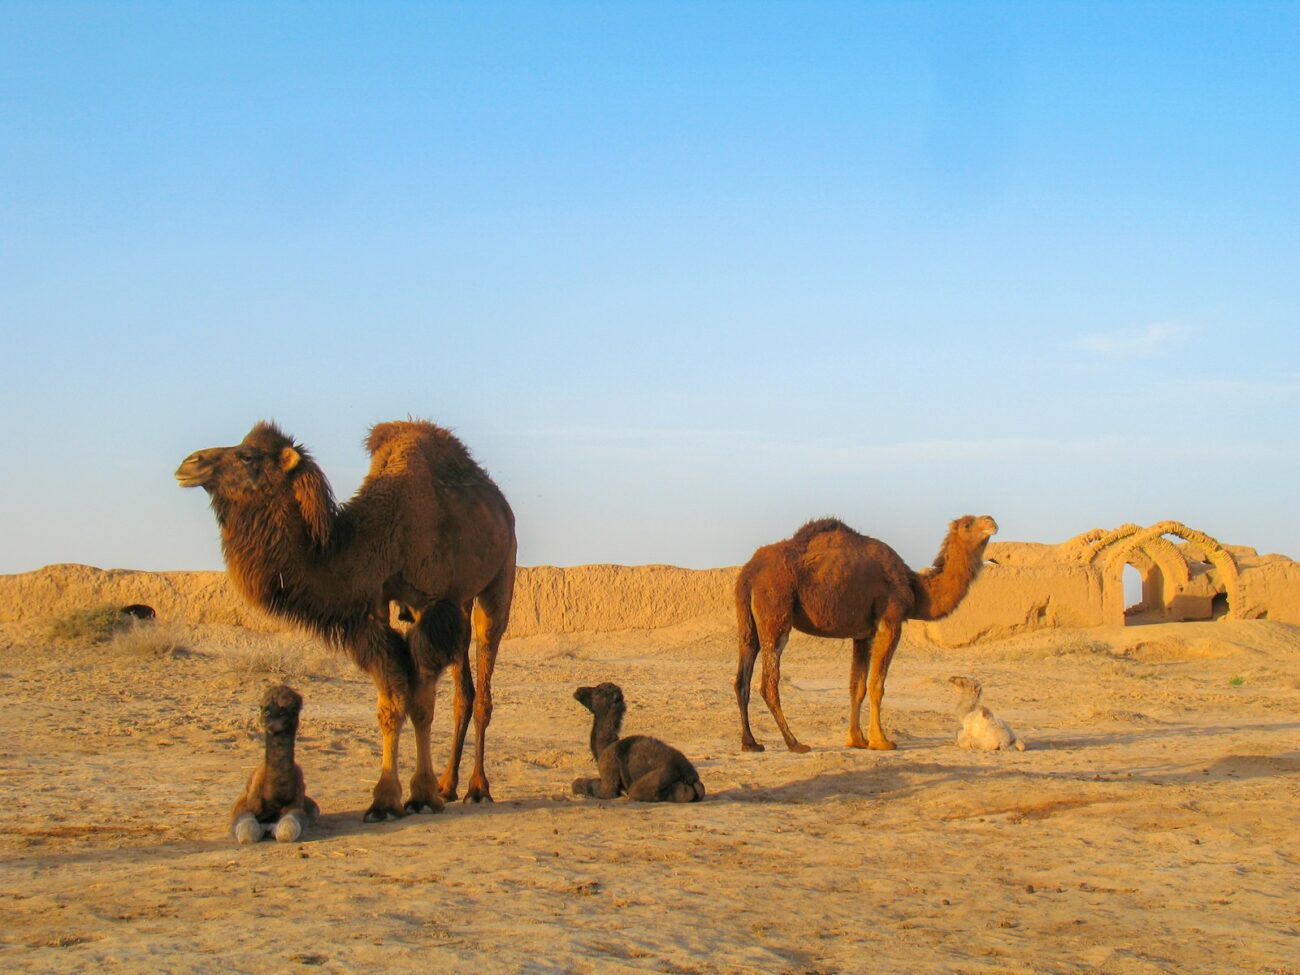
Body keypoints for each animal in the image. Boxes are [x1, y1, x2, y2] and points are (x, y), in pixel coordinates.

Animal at [177, 419, 516, 821]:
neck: (378, 539)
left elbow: (420, 705)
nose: (189, 464)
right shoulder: (374, 610)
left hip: (498, 580)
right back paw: (448, 785)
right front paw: (386, 800)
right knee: (463, 693)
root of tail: (502, 507)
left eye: (247, 456)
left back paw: (478, 789)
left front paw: (420, 795)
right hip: (460, 601)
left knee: (483, 681)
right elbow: (390, 703)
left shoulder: (428, 603)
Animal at [231, 684, 320, 843]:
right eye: (261, 705)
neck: (274, 799)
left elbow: (287, 831)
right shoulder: (243, 807)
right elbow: (248, 833)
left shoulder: (296, 807)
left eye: (290, 708)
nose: (265, 716)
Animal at [572, 683, 705, 803]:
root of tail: (690, 775)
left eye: (600, 691)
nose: (578, 690)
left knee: (636, 792)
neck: (606, 746)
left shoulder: (608, 782)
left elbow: (579, 784)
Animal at [735, 514, 997, 753]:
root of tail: (748, 572)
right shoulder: (890, 622)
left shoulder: (863, 634)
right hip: (775, 611)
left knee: (742, 677)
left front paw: (856, 739)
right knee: (768, 682)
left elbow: (857, 686)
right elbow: (877, 684)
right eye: (968, 524)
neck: (914, 586)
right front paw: (881, 741)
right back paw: (794, 743)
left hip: (748, 624)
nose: (992, 522)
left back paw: (751, 743)